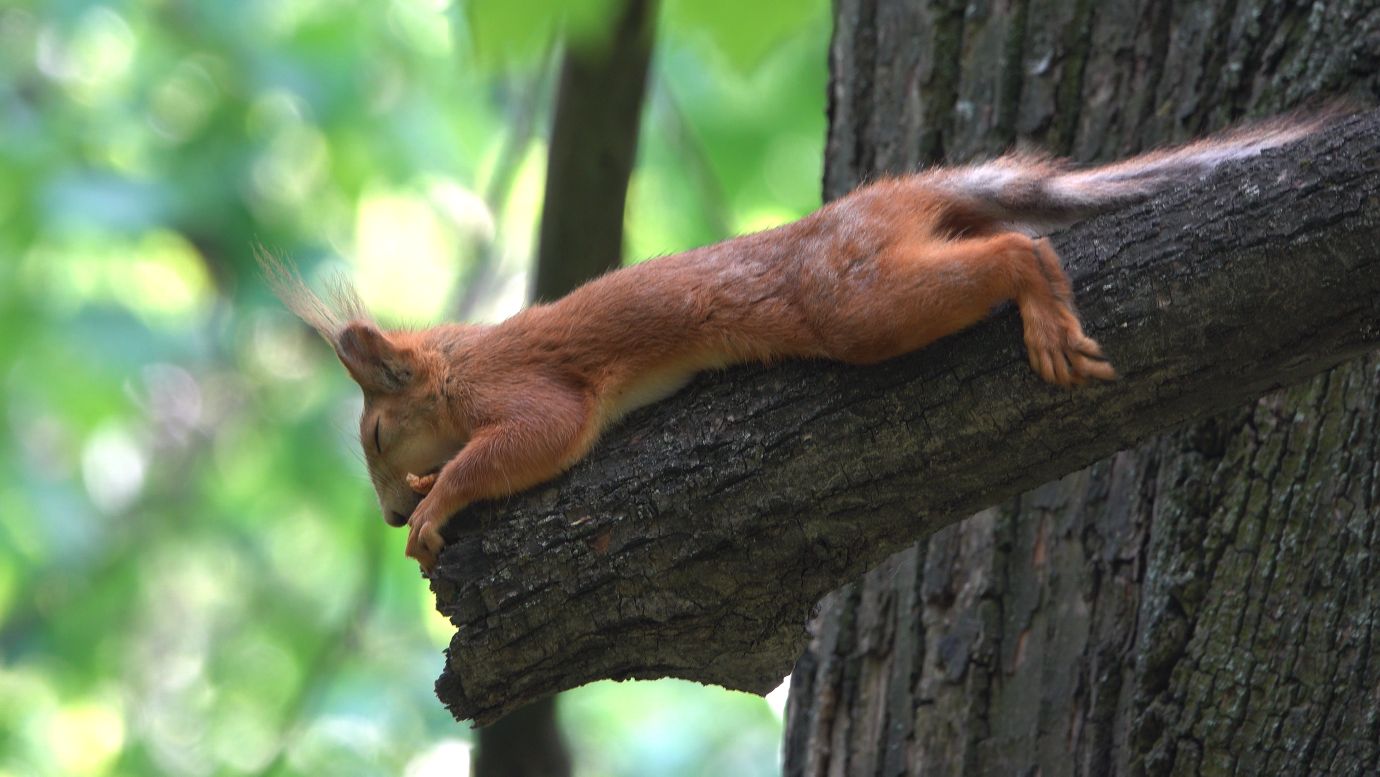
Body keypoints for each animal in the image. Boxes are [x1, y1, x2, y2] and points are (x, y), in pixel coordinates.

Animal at [263, 112, 1331, 572]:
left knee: (1016, 250)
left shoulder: (525, 389)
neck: (462, 363)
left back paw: (1037, 292)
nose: (386, 513)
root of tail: (889, 199)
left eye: (374, 435)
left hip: (852, 300)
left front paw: (439, 497)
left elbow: (537, 437)